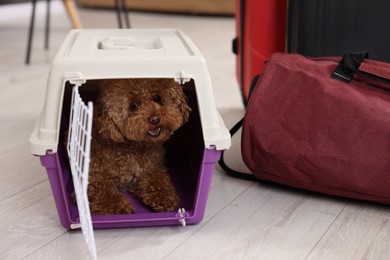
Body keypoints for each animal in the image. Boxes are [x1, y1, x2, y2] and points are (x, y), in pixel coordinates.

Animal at [88, 77, 192, 215]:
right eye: (133, 105)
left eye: (157, 98)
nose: (154, 119)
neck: (132, 147)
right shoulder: (94, 176)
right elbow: (105, 192)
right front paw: (119, 209)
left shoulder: (152, 167)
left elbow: (158, 180)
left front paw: (165, 197)